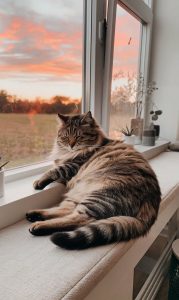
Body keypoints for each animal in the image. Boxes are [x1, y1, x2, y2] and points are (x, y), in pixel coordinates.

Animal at [26, 111, 161, 250]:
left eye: (79, 136)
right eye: (66, 137)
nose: (71, 145)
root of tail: (152, 205)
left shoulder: (72, 166)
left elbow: (53, 170)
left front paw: (38, 182)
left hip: (98, 196)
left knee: (79, 219)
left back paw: (39, 225)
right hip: (80, 194)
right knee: (66, 210)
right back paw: (34, 214)